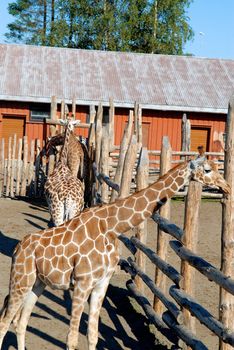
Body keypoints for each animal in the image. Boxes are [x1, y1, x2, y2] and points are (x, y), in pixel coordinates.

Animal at [0, 159, 230, 350]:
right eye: (207, 169)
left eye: (216, 167)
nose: (226, 187)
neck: (111, 226)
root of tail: (17, 248)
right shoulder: (82, 282)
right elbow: (71, 339)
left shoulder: (101, 283)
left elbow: (92, 335)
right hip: (20, 280)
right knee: (5, 321)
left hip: (37, 283)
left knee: (20, 322)